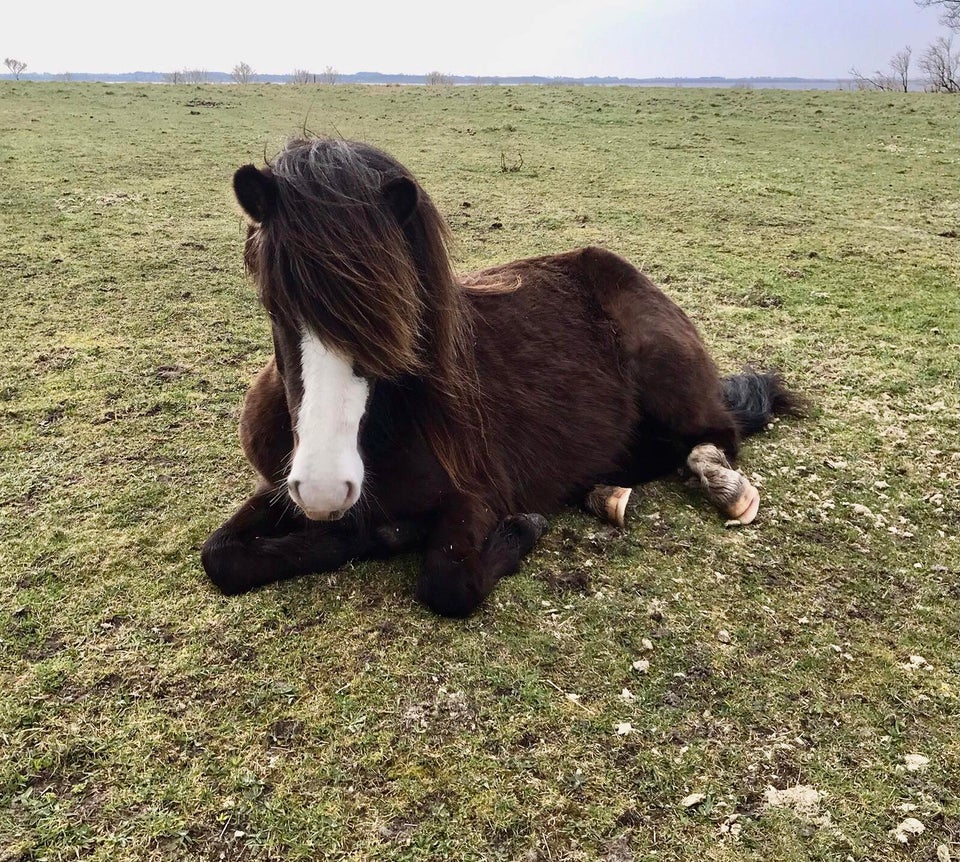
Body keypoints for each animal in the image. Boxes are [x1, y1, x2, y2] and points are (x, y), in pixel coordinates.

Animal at [202, 138, 804, 616]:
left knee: (714, 437)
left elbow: (449, 584)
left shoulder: (475, 497)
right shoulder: (278, 490)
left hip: (668, 379)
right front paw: (370, 532)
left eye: (394, 318)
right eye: (274, 306)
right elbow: (221, 557)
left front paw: (519, 529)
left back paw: (720, 487)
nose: (325, 489)